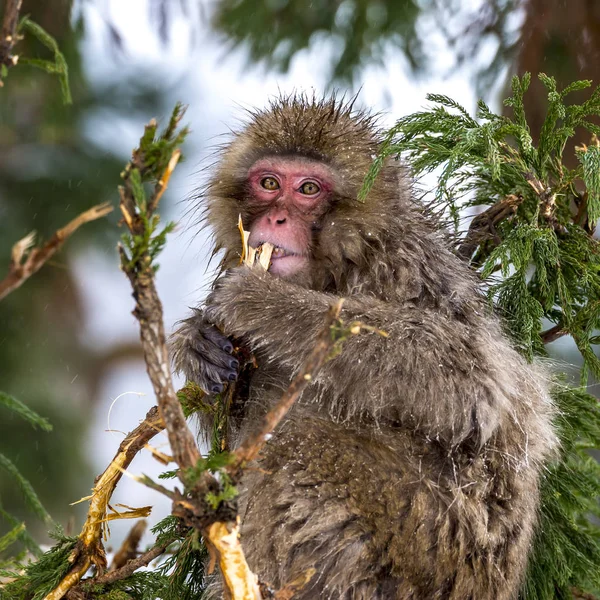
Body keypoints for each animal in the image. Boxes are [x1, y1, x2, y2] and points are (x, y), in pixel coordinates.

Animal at [171, 96, 556, 596]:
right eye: (269, 183)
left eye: (308, 189)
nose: (277, 218)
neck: (341, 265)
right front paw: (198, 343)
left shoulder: (406, 267)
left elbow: (474, 383)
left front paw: (262, 303)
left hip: (428, 537)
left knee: (299, 445)